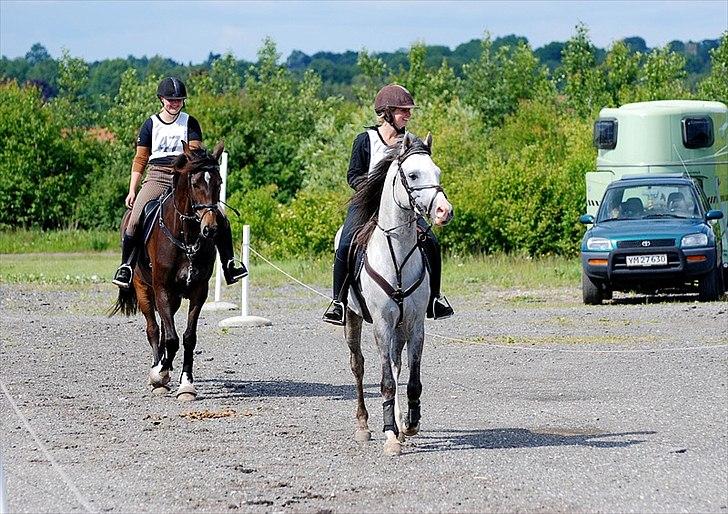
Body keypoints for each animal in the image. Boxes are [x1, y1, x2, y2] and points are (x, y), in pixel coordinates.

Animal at [111, 140, 223, 400]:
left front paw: (186, 383)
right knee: (154, 329)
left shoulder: (198, 292)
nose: (211, 229)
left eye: (219, 182)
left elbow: (188, 338)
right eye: (195, 183)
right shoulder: (161, 287)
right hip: (143, 288)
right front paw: (159, 375)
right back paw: (158, 370)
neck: (187, 237)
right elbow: (170, 338)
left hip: (174, 297)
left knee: (163, 328)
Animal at [344, 131, 452, 452]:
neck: (398, 251)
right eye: (413, 175)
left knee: (396, 363)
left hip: (400, 327)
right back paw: (364, 425)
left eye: (437, 172)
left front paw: (410, 424)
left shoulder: (414, 324)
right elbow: (386, 382)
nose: (445, 211)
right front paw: (390, 434)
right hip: (353, 319)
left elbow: (411, 378)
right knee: (358, 365)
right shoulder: (381, 324)